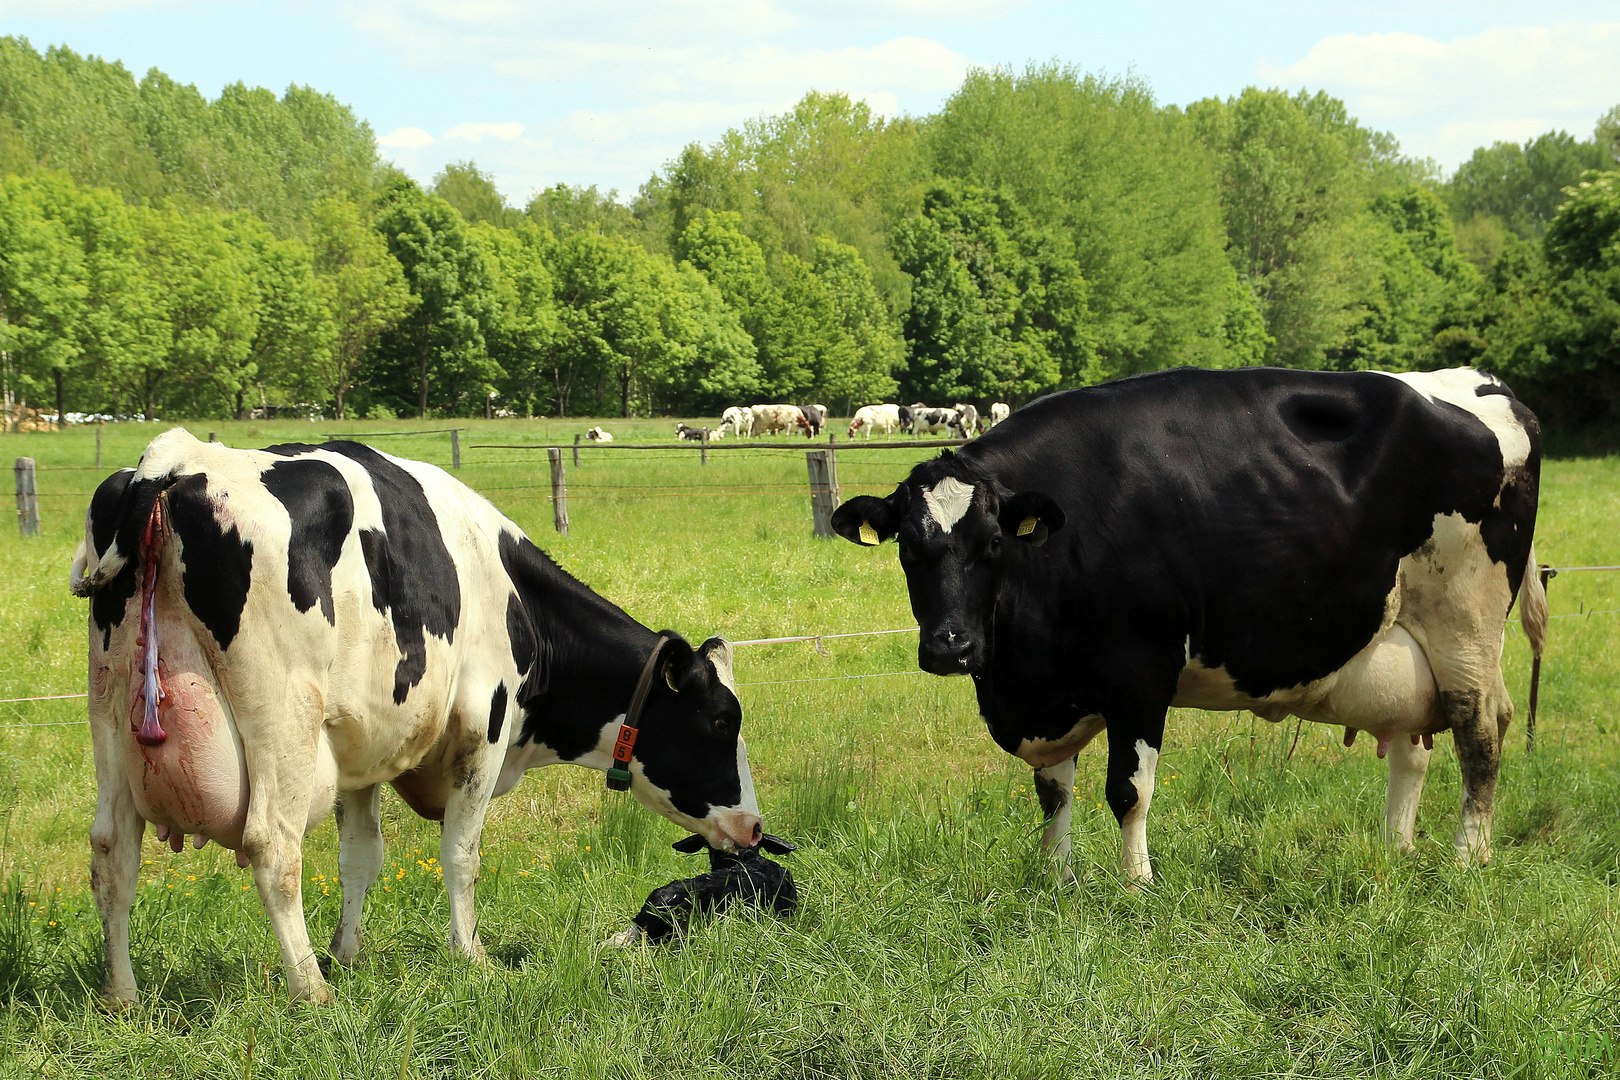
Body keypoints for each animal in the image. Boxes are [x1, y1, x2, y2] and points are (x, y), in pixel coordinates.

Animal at [69, 430, 764, 1003]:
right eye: (721, 722)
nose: (755, 828)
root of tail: (174, 461)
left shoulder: (361, 747)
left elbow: (361, 856)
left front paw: (349, 954)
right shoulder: (485, 729)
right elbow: (461, 853)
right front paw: (470, 955)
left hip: (111, 716)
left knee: (113, 851)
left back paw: (123, 995)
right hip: (281, 718)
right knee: (272, 846)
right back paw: (310, 991)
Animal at [835, 372, 1542, 887]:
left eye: (991, 545)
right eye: (907, 549)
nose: (950, 646)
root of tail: (1484, 384)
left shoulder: (1141, 672)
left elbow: (1128, 789)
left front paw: (1137, 886)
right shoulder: (1049, 692)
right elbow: (1053, 792)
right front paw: (1058, 881)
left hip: (1466, 623)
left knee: (1481, 731)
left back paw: (1468, 859)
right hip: (1407, 642)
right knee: (1414, 747)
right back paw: (1396, 849)